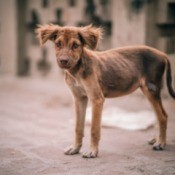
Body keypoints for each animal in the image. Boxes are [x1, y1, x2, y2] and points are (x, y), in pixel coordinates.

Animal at [35, 23, 175, 158]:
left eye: (75, 45)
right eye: (58, 44)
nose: (63, 61)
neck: (77, 70)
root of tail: (162, 54)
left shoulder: (97, 99)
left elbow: (94, 128)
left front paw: (92, 151)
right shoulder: (79, 98)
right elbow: (78, 127)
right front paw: (75, 148)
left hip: (151, 88)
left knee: (163, 116)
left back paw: (161, 143)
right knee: (159, 115)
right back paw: (157, 139)